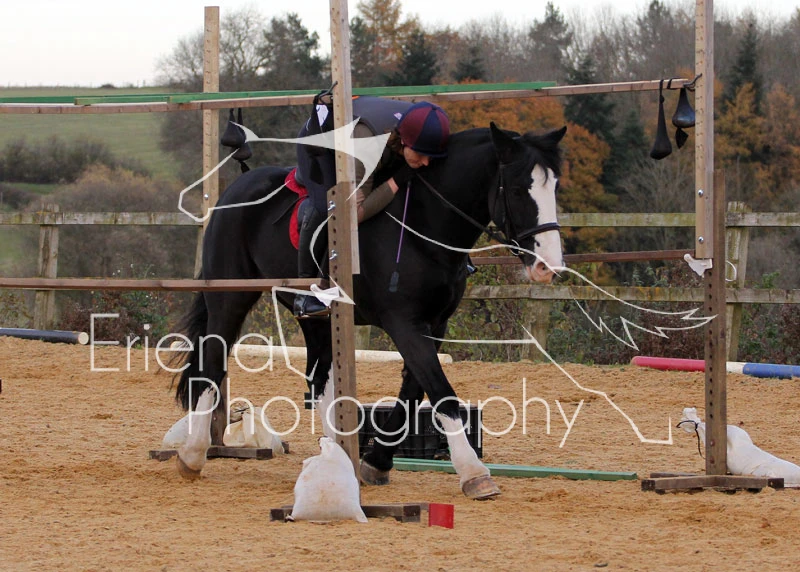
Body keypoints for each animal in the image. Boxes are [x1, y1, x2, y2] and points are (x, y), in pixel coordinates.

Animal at [171, 121, 567, 499]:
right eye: (517, 190)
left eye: (554, 189)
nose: (547, 266)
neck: (423, 222)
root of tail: (238, 184)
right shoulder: (403, 322)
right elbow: (439, 390)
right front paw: (474, 474)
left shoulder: (435, 323)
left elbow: (413, 391)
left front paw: (376, 461)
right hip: (230, 298)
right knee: (214, 360)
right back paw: (192, 454)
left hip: (315, 317)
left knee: (319, 377)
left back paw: (334, 453)